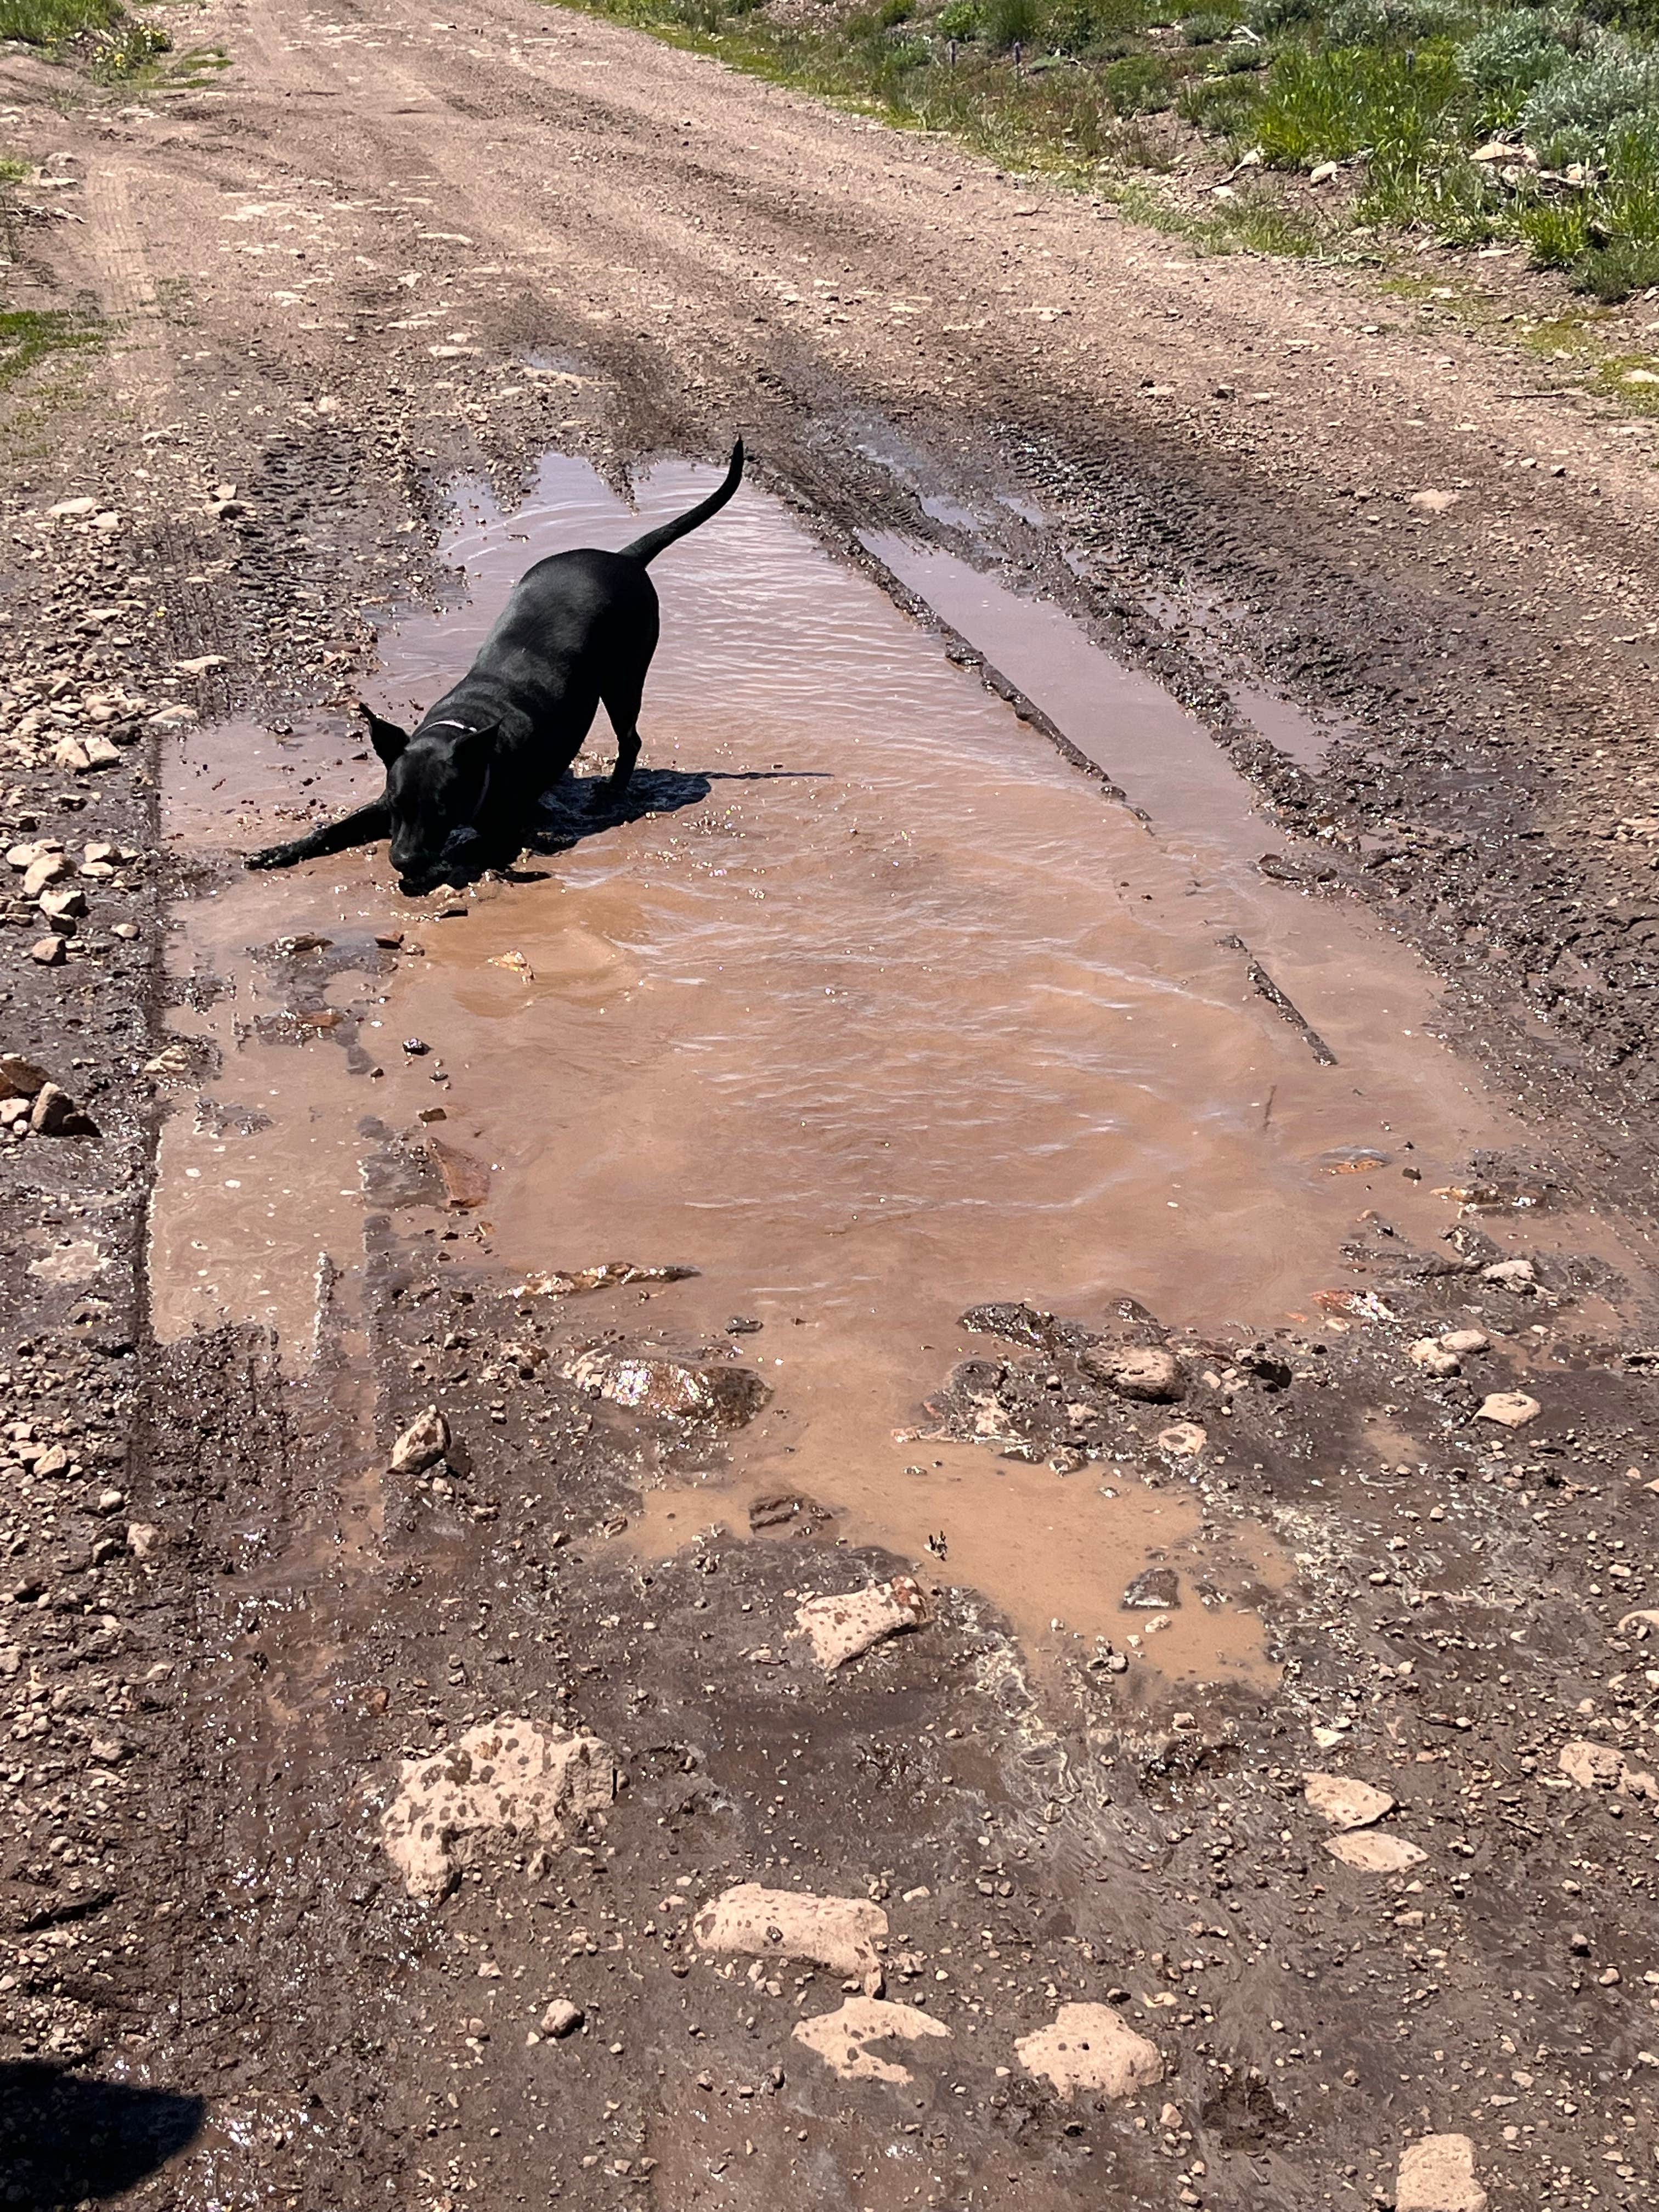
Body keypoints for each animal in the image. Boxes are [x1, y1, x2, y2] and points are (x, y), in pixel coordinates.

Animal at [243, 440, 743, 889]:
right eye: (398, 806)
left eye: (440, 810)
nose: (403, 860)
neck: (465, 732)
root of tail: (625, 558)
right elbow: (333, 829)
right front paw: (277, 851)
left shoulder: (504, 831)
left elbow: (473, 844)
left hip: (624, 678)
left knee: (631, 738)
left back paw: (613, 791)